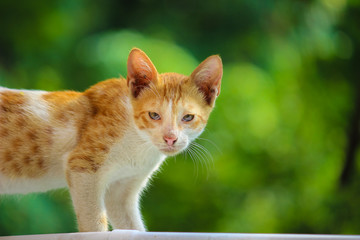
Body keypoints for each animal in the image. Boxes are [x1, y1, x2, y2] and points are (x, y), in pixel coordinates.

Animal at [0, 47, 222, 232]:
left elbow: (133, 228)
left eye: (188, 117)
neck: (139, 144)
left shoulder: (120, 192)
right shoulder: (82, 167)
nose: (170, 138)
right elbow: (94, 223)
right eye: (154, 115)